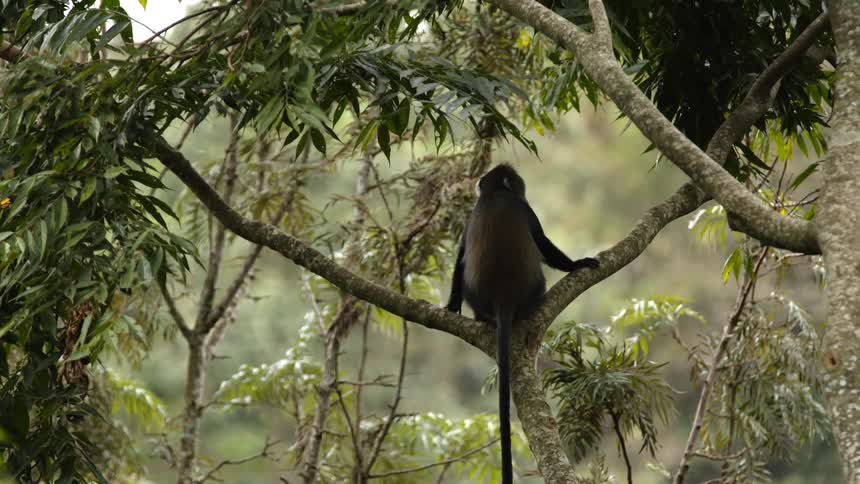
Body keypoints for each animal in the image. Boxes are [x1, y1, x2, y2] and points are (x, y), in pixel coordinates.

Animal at [446, 163, 599, 484]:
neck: (498, 193)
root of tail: (503, 300)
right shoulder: (524, 208)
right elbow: (542, 242)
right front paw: (577, 263)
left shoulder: (471, 217)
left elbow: (461, 258)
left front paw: (451, 307)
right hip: (534, 291)